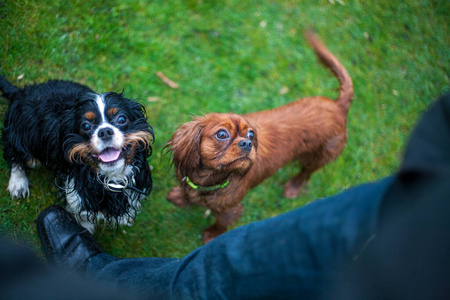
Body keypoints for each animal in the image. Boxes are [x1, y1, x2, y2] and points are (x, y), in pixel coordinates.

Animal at [0, 76, 154, 233]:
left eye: (122, 119)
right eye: (85, 126)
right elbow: (83, 219)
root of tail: (20, 92)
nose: (105, 131)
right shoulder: (76, 196)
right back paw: (18, 183)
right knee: (13, 153)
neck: (111, 178)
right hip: (20, 133)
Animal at [167, 32, 354, 244]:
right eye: (221, 134)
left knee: (305, 172)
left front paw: (211, 235)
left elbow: (221, 225)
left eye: (251, 134)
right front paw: (181, 198)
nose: (247, 143)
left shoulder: (230, 210)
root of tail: (338, 106)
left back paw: (293, 187)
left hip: (321, 155)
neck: (209, 181)